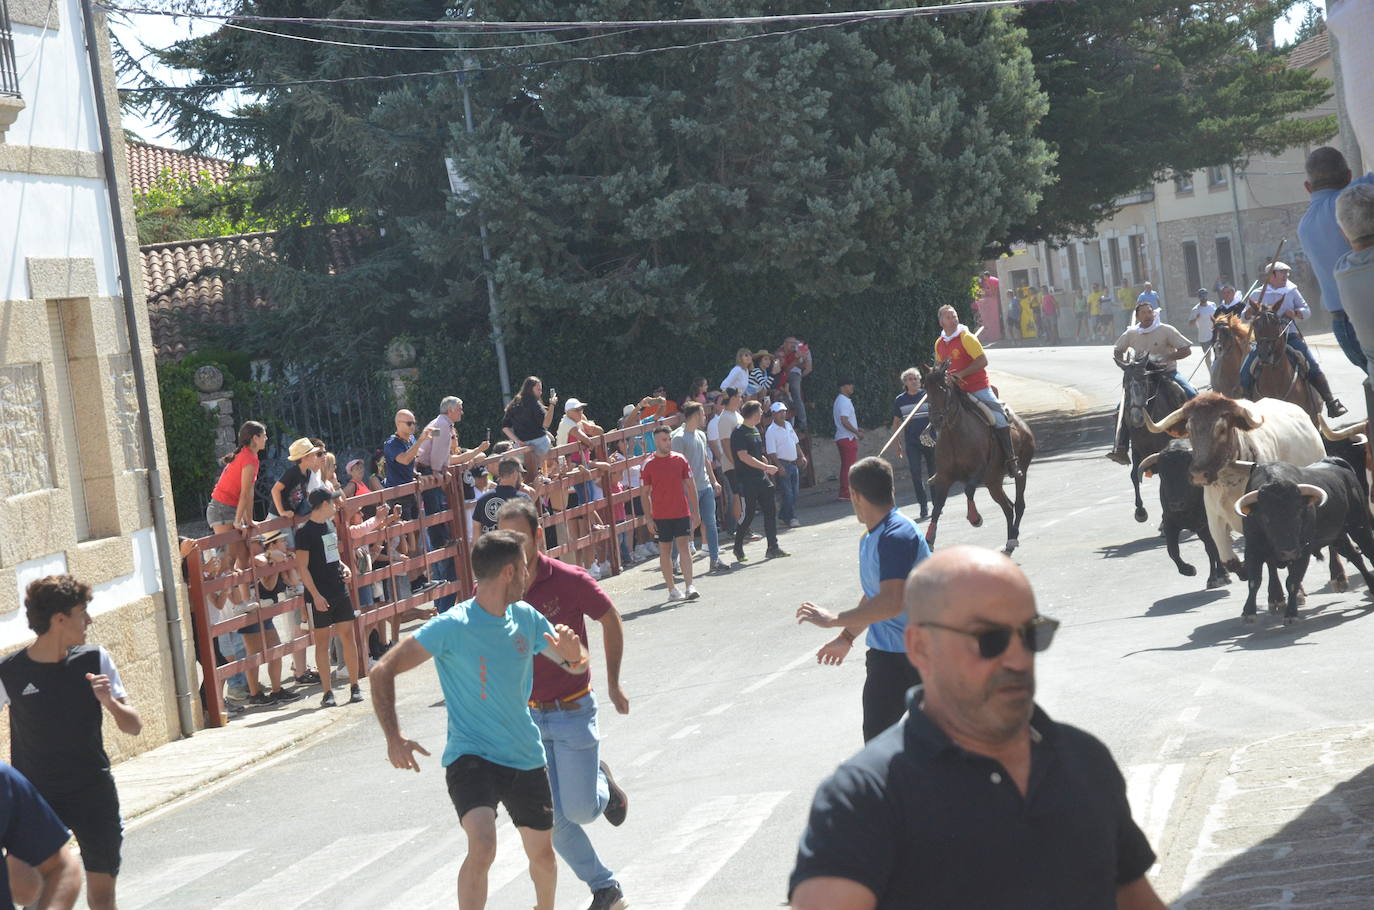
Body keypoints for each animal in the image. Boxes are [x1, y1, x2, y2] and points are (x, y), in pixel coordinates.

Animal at [917, 362, 1033, 555]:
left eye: (944, 387)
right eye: (926, 387)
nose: (936, 419)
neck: (953, 433)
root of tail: (1024, 426)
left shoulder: (978, 470)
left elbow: (969, 490)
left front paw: (975, 518)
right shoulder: (944, 477)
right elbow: (937, 506)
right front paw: (929, 539)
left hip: (1020, 471)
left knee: (1019, 504)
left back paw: (1013, 538)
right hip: (993, 482)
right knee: (1008, 507)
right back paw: (1009, 540)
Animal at [1121, 354, 1187, 525]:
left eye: (1144, 383)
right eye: (1125, 385)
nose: (1136, 418)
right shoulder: (1137, 449)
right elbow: (1134, 475)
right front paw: (1140, 511)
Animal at [1132, 442, 1231, 591]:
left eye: (1187, 473)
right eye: (1162, 474)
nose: (1176, 504)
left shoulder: (1209, 525)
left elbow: (1214, 547)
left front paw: (1223, 575)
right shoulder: (1170, 523)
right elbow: (1172, 550)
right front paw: (1188, 570)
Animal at [1148, 393, 1330, 577]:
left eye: (1222, 430)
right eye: (1189, 430)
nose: (1198, 474)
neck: (1229, 483)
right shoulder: (1214, 519)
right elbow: (1229, 560)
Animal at [1231, 459, 1374, 624]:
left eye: (1299, 512)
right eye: (1265, 517)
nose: (1288, 552)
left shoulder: (1303, 551)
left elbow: (1292, 581)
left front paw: (1291, 613)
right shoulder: (1253, 549)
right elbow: (1254, 581)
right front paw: (1248, 612)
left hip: (1359, 527)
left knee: (1368, 552)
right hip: (1338, 537)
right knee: (1355, 556)